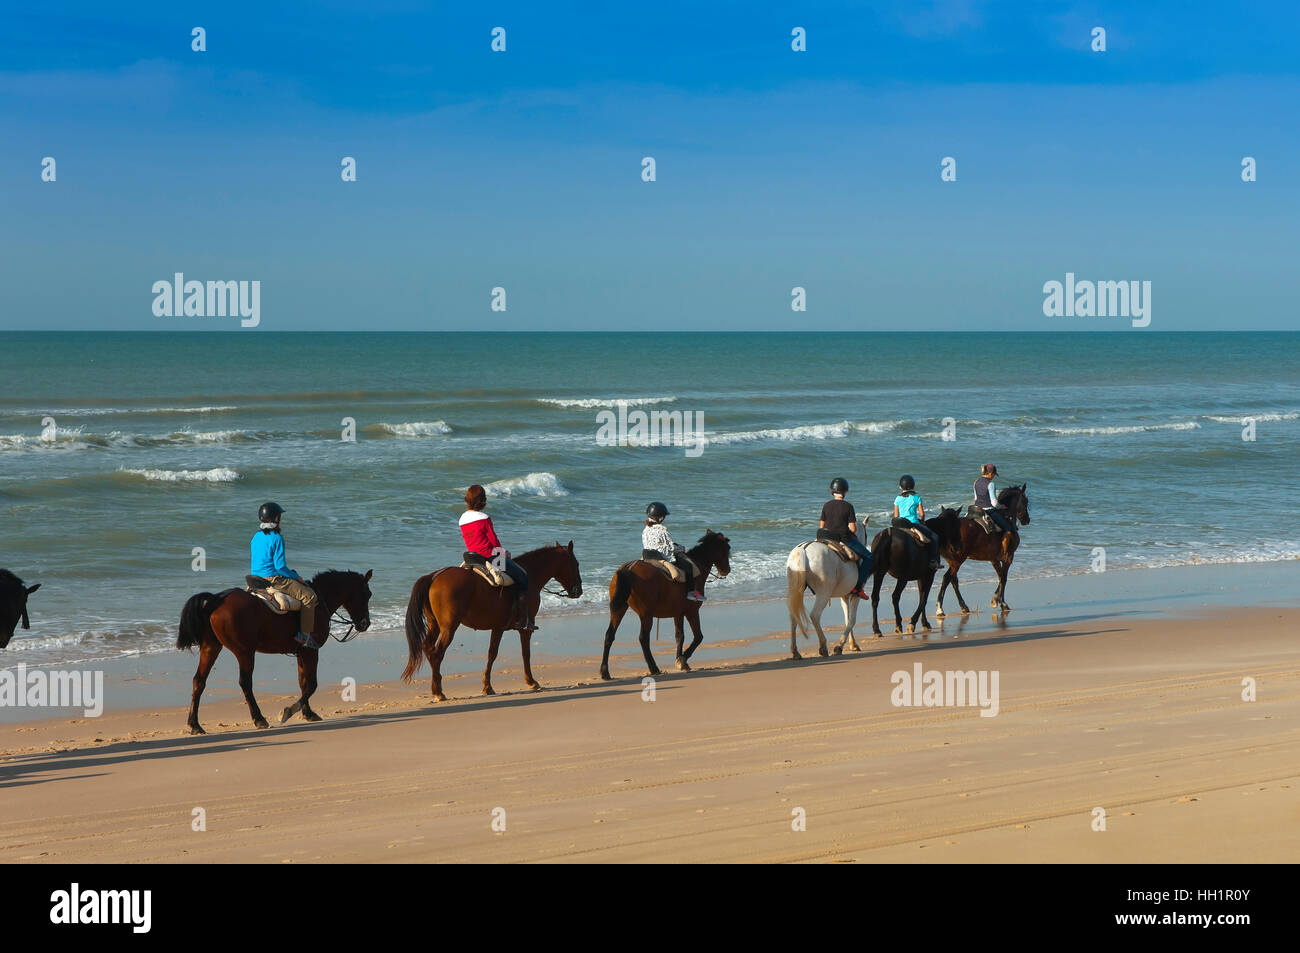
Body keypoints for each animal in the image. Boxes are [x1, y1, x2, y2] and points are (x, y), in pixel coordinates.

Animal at [176, 569, 377, 733]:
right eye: (367, 594)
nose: (365, 624)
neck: (320, 601)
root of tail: (217, 599)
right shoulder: (311, 650)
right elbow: (311, 684)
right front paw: (289, 711)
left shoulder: (302, 652)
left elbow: (303, 682)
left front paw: (308, 713)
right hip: (244, 652)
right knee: (245, 683)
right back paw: (259, 718)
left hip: (211, 648)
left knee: (199, 681)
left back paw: (195, 724)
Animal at [395, 543, 579, 696]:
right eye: (576, 564)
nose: (579, 590)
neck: (531, 576)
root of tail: (434, 576)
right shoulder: (522, 628)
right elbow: (522, 653)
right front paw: (530, 682)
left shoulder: (498, 627)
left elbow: (492, 653)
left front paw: (487, 685)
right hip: (448, 627)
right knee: (437, 653)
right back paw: (438, 691)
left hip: (435, 625)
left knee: (427, 647)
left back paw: (436, 687)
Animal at [598, 527, 733, 676]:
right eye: (727, 548)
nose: (727, 570)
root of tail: (629, 568)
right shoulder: (692, 612)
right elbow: (698, 637)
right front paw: (682, 660)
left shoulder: (678, 613)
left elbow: (680, 636)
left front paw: (681, 659)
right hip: (646, 615)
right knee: (643, 638)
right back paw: (653, 668)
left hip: (620, 609)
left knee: (609, 635)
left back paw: (605, 671)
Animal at [780, 520, 873, 655]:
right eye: (866, 535)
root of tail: (804, 549)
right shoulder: (855, 596)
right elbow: (851, 620)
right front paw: (840, 645)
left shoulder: (844, 596)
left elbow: (847, 619)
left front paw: (853, 644)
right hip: (824, 593)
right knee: (815, 615)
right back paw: (823, 646)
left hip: (796, 591)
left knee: (794, 616)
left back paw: (795, 651)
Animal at [935, 483, 1034, 616]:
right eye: (1025, 501)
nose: (1027, 519)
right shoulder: (1008, 557)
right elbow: (1003, 578)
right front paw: (1001, 602)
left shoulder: (994, 559)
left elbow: (1000, 576)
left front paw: (996, 599)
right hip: (958, 560)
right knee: (947, 578)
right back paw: (940, 608)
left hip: (953, 560)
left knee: (953, 580)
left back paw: (963, 606)